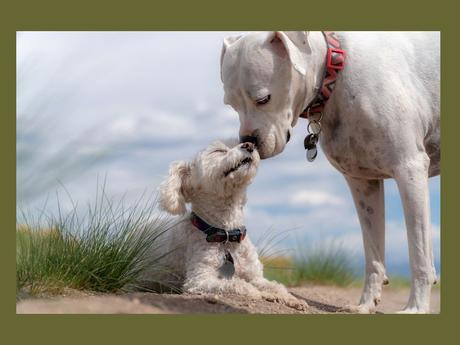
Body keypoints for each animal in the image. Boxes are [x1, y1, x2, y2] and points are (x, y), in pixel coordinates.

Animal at [153, 140, 308, 310]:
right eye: (218, 151)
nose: (249, 144)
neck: (227, 235)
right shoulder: (199, 280)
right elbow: (238, 284)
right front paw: (261, 294)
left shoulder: (255, 276)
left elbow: (275, 286)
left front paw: (292, 299)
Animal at [221, 31, 440, 312]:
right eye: (231, 105)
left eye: (263, 99)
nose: (248, 141)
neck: (335, 71)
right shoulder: (362, 183)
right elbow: (373, 254)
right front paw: (365, 305)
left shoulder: (410, 169)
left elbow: (419, 254)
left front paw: (416, 308)